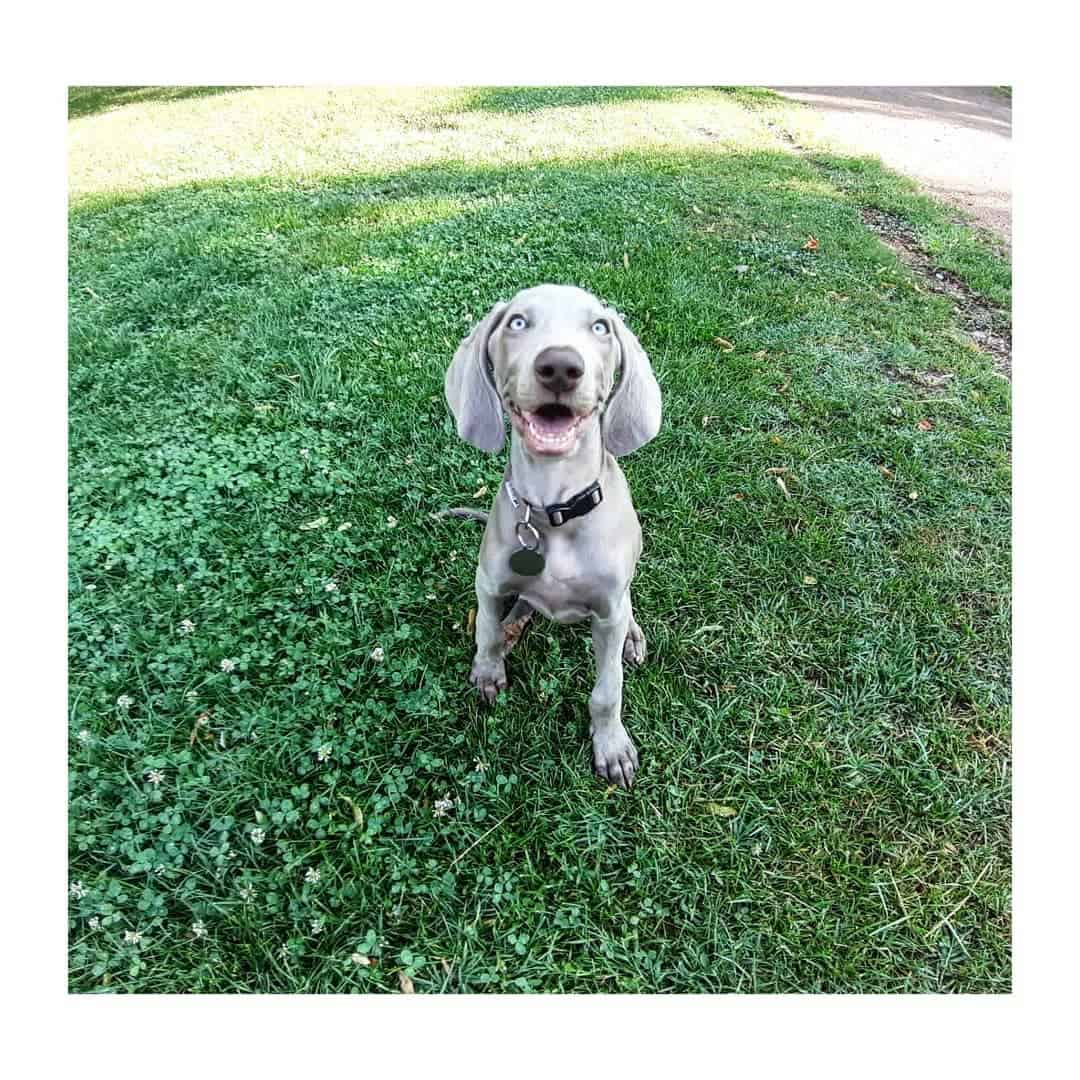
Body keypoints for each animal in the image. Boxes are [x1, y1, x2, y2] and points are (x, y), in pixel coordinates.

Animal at [442, 282, 660, 790]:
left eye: (599, 327)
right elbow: (484, 630)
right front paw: (488, 668)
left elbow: (607, 689)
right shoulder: (488, 582)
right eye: (518, 322)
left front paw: (611, 747)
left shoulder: (608, 609)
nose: (560, 366)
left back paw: (632, 637)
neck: (553, 505)